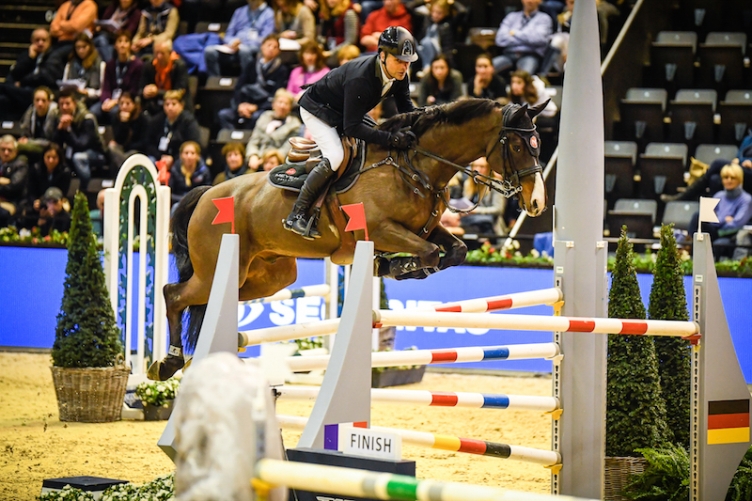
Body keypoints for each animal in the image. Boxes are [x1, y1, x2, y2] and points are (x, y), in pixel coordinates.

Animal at [148, 98, 549, 380]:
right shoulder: (382, 229)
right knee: (173, 294)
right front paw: (396, 265)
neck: (416, 167)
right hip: (215, 268)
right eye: (517, 146)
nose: (537, 204)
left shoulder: (426, 228)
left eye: (538, 143)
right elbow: (430, 253)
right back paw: (167, 362)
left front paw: (397, 266)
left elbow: (455, 251)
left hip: (267, 275)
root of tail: (207, 193)